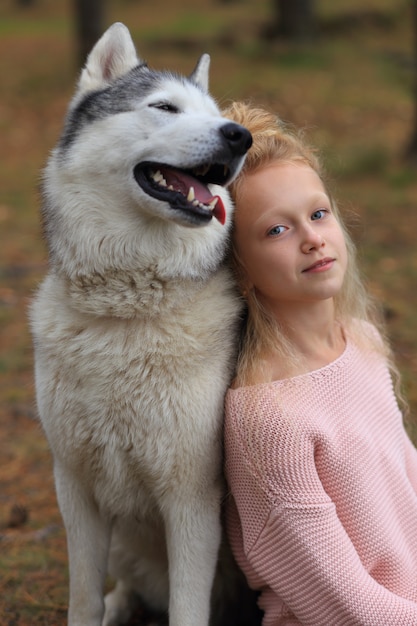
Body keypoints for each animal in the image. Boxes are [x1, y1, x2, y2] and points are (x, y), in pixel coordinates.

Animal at [30, 22, 254, 624]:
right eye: (164, 107)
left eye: (215, 114)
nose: (239, 136)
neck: (125, 312)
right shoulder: (74, 489)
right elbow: (82, 601)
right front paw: (96, 609)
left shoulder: (190, 502)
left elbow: (185, 609)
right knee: (124, 590)